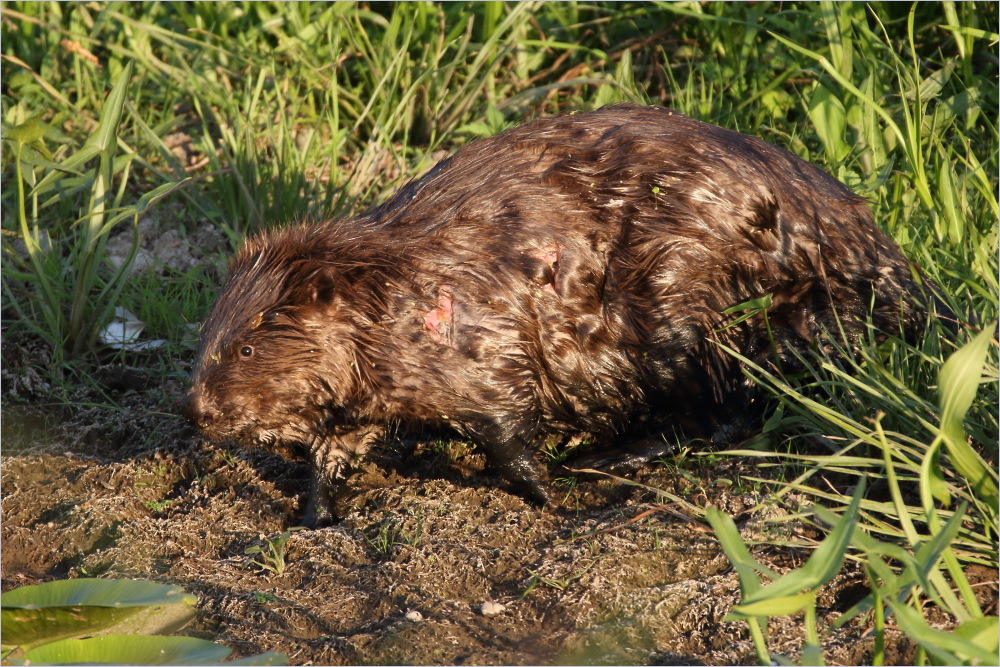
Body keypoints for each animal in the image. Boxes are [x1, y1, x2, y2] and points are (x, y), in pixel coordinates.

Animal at [184, 103, 940, 528]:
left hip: (676, 296)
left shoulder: (481, 348)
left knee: (726, 405)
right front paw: (312, 517)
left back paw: (608, 455)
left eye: (245, 348)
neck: (397, 285)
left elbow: (508, 431)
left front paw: (555, 497)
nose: (198, 412)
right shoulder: (371, 386)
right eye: (214, 338)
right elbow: (336, 446)